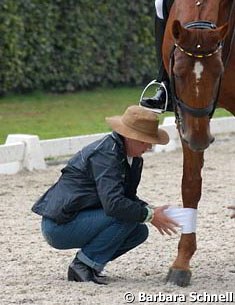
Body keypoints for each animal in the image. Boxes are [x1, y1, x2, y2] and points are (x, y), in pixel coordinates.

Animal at [162, 0, 234, 284]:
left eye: (219, 72)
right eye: (178, 74)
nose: (201, 139)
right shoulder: (185, 119)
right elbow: (190, 186)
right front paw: (181, 263)